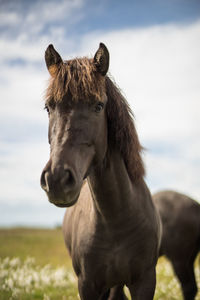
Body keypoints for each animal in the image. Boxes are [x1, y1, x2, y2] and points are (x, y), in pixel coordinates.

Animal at [40, 42, 161, 300]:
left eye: (98, 106)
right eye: (48, 107)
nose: (56, 179)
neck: (116, 217)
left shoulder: (145, 281)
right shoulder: (88, 284)